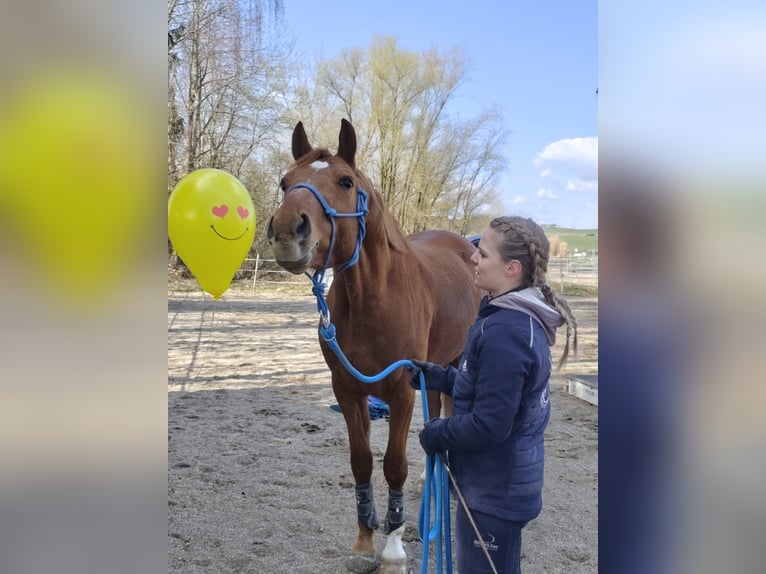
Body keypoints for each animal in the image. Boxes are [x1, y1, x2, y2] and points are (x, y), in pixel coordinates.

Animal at [267, 119, 480, 573]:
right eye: (285, 182)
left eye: (346, 182)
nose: (287, 230)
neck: (374, 299)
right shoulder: (348, 390)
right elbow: (362, 462)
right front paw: (365, 541)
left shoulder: (400, 389)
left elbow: (394, 466)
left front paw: (394, 550)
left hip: (454, 361)